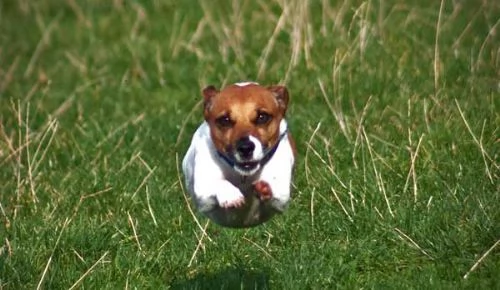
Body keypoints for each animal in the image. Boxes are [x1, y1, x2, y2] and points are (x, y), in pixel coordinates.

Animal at [182, 82, 294, 229]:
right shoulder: (203, 195)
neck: (243, 176)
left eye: (262, 117)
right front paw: (231, 195)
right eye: (225, 120)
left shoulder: (281, 197)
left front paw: (265, 189)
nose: (245, 148)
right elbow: (217, 183)